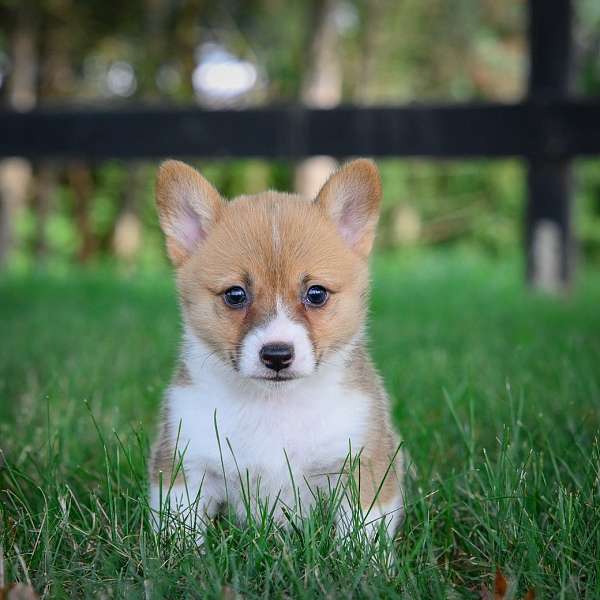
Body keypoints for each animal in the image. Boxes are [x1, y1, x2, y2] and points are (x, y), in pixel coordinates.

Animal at [148, 157, 406, 540]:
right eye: (235, 294)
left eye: (316, 293)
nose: (277, 355)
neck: (275, 406)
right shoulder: (186, 467)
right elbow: (178, 531)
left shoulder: (363, 466)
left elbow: (361, 533)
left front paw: (360, 557)